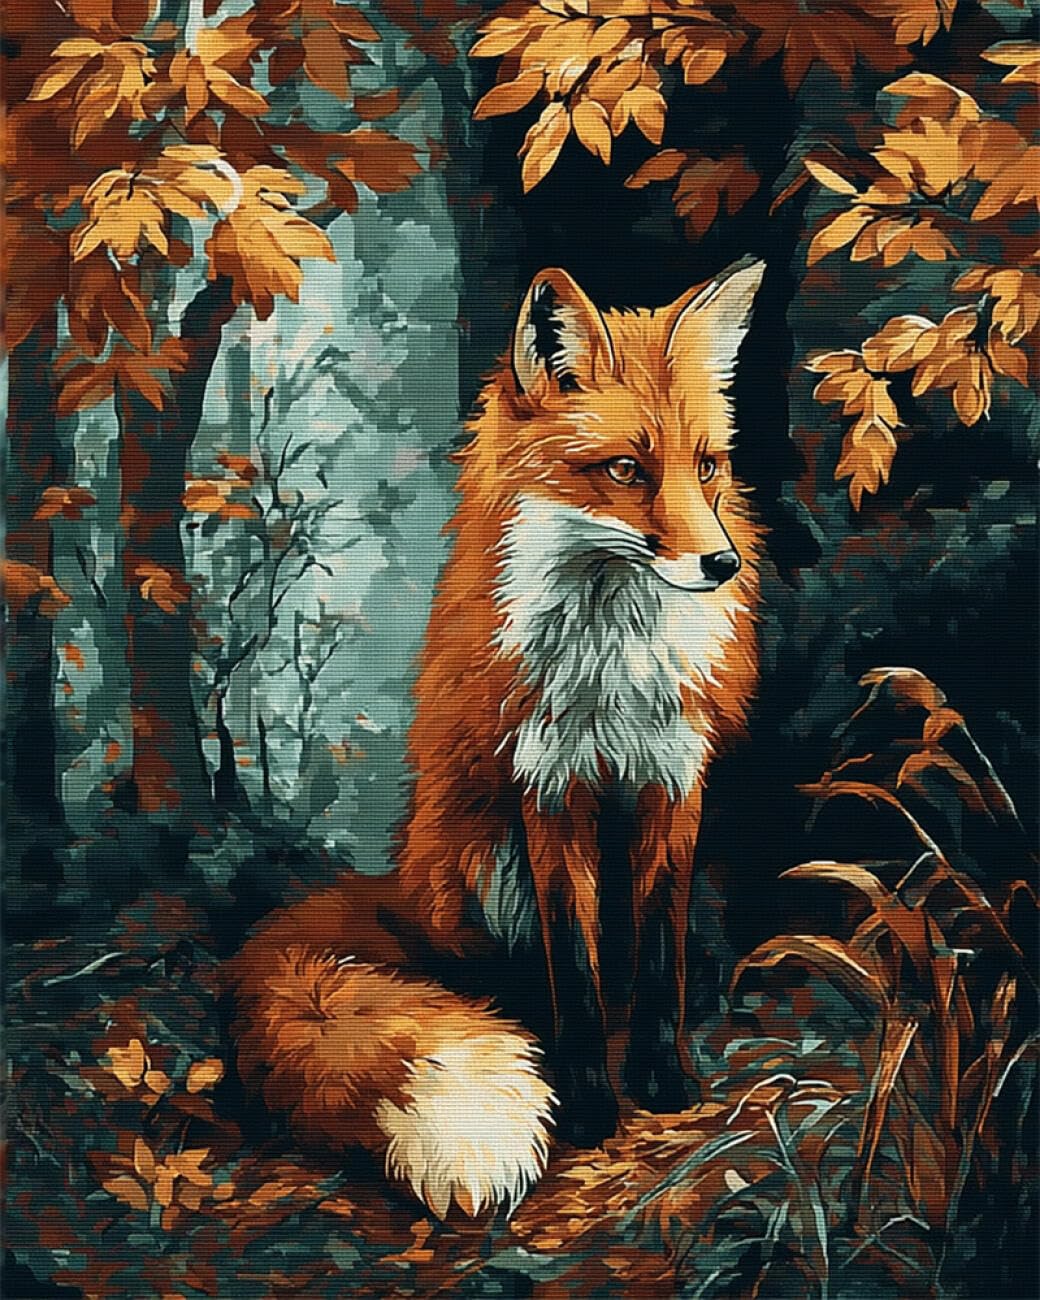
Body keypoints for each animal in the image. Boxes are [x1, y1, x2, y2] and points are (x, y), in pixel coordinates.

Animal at [225, 256, 766, 1223]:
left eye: (707, 466)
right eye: (626, 469)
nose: (722, 565)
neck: (613, 657)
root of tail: (396, 887)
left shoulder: (675, 779)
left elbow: (656, 952)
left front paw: (663, 1078)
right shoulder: (549, 784)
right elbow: (575, 970)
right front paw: (589, 1105)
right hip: (478, 860)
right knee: (490, 974)